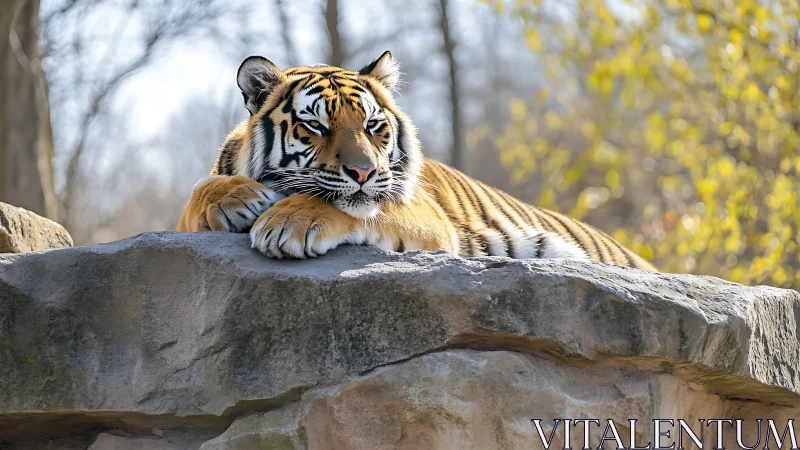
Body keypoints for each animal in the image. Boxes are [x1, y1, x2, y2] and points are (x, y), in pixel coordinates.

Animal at [177, 51, 656, 271]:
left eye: (372, 125)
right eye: (316, 126)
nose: (364, 171)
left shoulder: (425, 216)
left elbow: (355, 208)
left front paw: (286, 222)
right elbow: (197, 191)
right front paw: (233, 199)